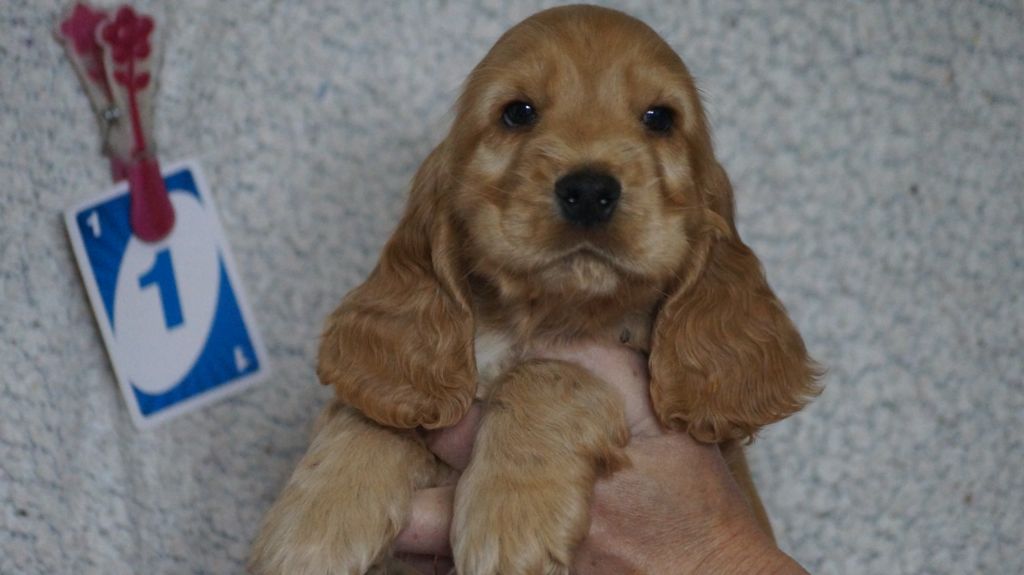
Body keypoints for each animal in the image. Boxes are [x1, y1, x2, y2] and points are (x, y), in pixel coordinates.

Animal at [251, 5, 819, 572]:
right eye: (518, 113)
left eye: (660, 118)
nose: (588, 191)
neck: (545, 316)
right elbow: (370, 408)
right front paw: (315, 524)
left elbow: (547, 374)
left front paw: (511, 517)